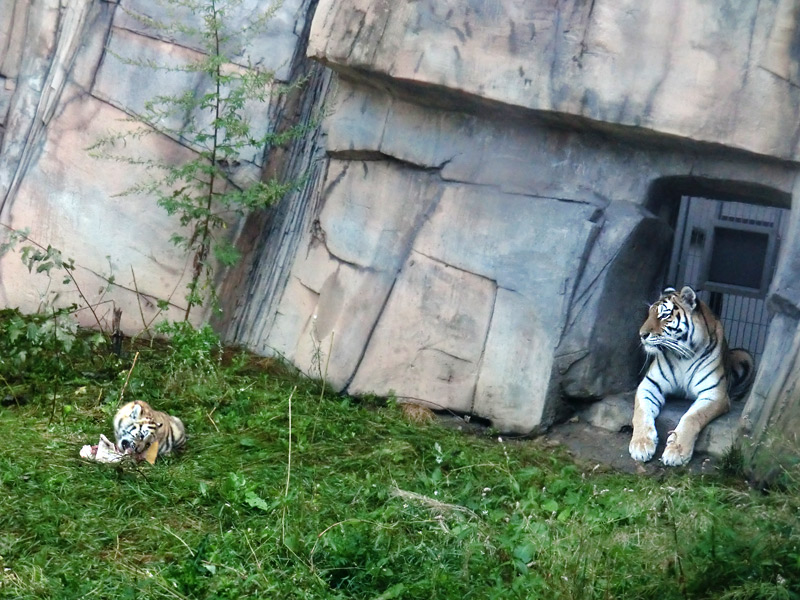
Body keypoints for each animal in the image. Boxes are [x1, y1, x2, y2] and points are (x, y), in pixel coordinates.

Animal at [628, 288, 752, 468]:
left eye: (664, 315)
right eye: (649, 314)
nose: (641, 334)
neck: (682, 357)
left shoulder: (714, 394)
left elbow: (692, 417)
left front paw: (676, 452)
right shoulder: (650, 385)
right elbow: (641, 413)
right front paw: (641, 444)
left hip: (745, 356)